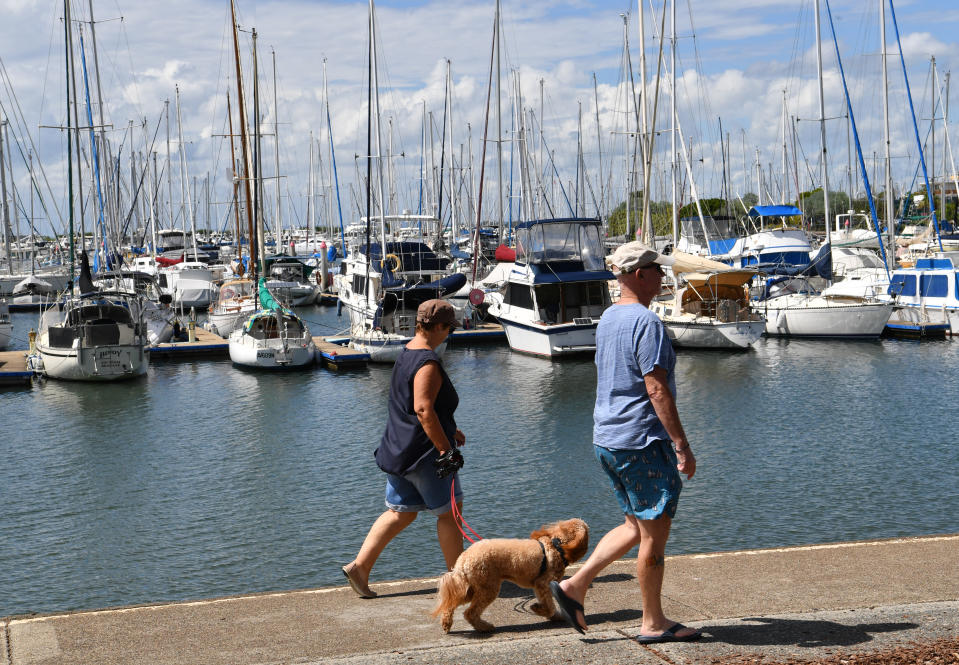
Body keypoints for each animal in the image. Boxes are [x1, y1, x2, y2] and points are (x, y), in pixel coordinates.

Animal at [432, 520, 588, 632]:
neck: (558, 546)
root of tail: (463, 559)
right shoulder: (543, 583)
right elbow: (549, 604)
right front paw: (540, 610)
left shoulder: (538, 586)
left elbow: (546, 602)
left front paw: (550, 614)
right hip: (488, 587)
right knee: (470, 613)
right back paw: (485, 627)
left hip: (472, 588)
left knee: (451, 604)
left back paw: (446, 624)